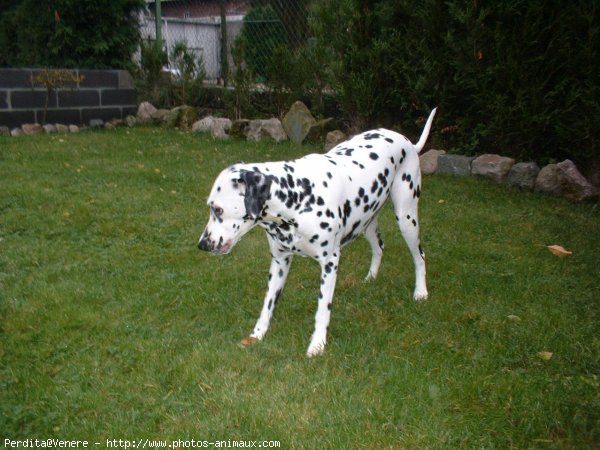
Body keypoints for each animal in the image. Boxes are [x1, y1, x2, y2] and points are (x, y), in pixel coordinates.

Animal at [199, 108, 438, 356]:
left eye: (217, 209)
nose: (202, 244)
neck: (298, 196)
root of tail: (407, 142)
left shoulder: (330, 264)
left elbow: (323, 309)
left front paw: (318, 344)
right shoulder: (280, 261)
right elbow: (267, 306)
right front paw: (257, 335)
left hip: (406, 217)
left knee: (419, 256)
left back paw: (421, 292)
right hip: (367, 222)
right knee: (379, 247)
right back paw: (371, 277)